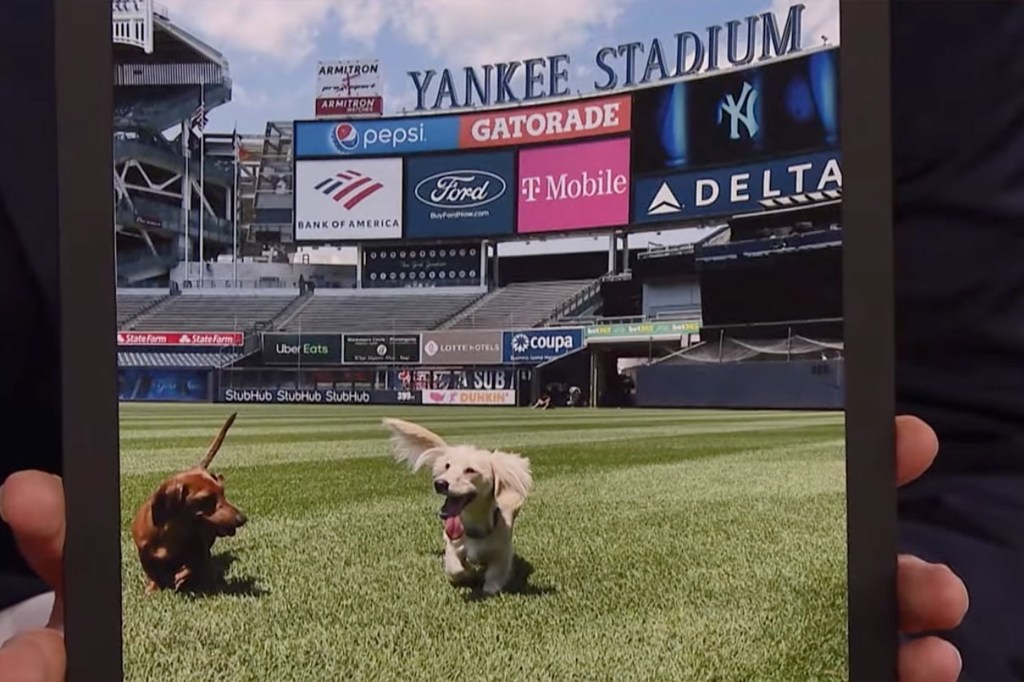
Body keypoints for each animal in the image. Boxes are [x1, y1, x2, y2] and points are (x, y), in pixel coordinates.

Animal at [380, 417, 532, 593]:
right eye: (447, 466)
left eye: (470, 470)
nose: (439, 483)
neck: (475, 526)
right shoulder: (454, 546)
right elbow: (455, 568)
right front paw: (469, 573)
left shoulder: (502, 551)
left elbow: (495, 576)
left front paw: (489, 586)